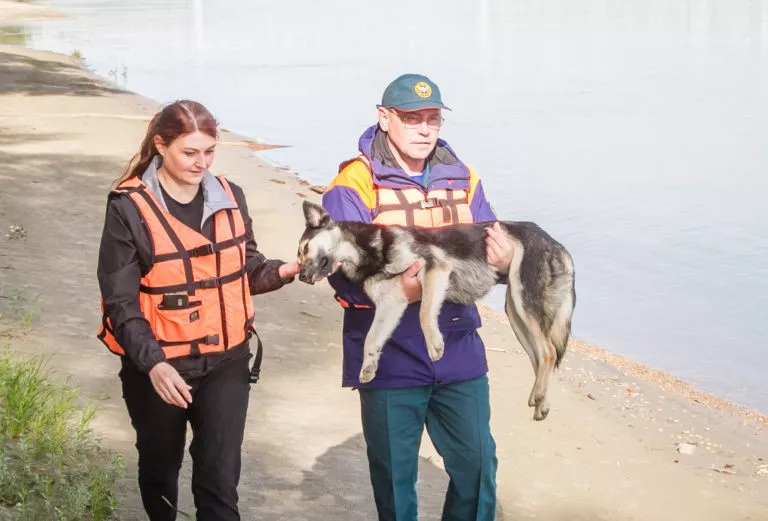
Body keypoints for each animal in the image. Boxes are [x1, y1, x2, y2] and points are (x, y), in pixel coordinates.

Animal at [296, 201, 572, 420]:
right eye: (299, 257)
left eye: (305, 248)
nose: (300, 277)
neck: (371, 251)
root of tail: (557, 244)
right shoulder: (391, 303)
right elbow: (372, 339)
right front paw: (368, 366)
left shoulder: (433, 269)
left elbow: (424, 312)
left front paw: (434, 344)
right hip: (515, 312)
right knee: (540, 358)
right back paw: (541, 400)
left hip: (524, 302)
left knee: (548, 353)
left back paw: (539, 394)